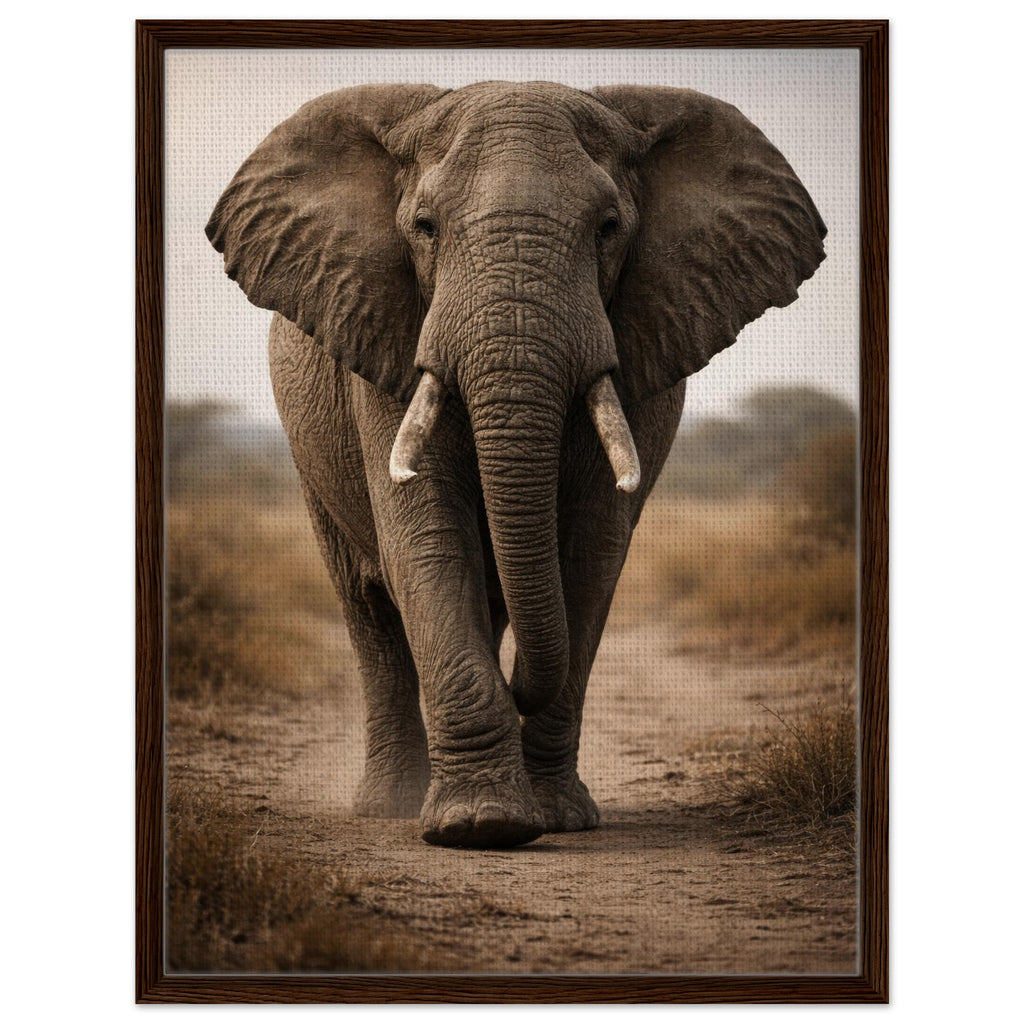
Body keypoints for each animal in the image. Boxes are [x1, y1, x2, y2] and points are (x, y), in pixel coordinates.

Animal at [206, 81, 825, 849]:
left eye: (609, 228)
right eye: (425, 227)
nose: (519, 684)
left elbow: (592, 554)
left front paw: (556, 818)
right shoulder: (387, 343)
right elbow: (427, 538)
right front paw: (482, 826)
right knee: (369, 610)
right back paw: (391, 806)